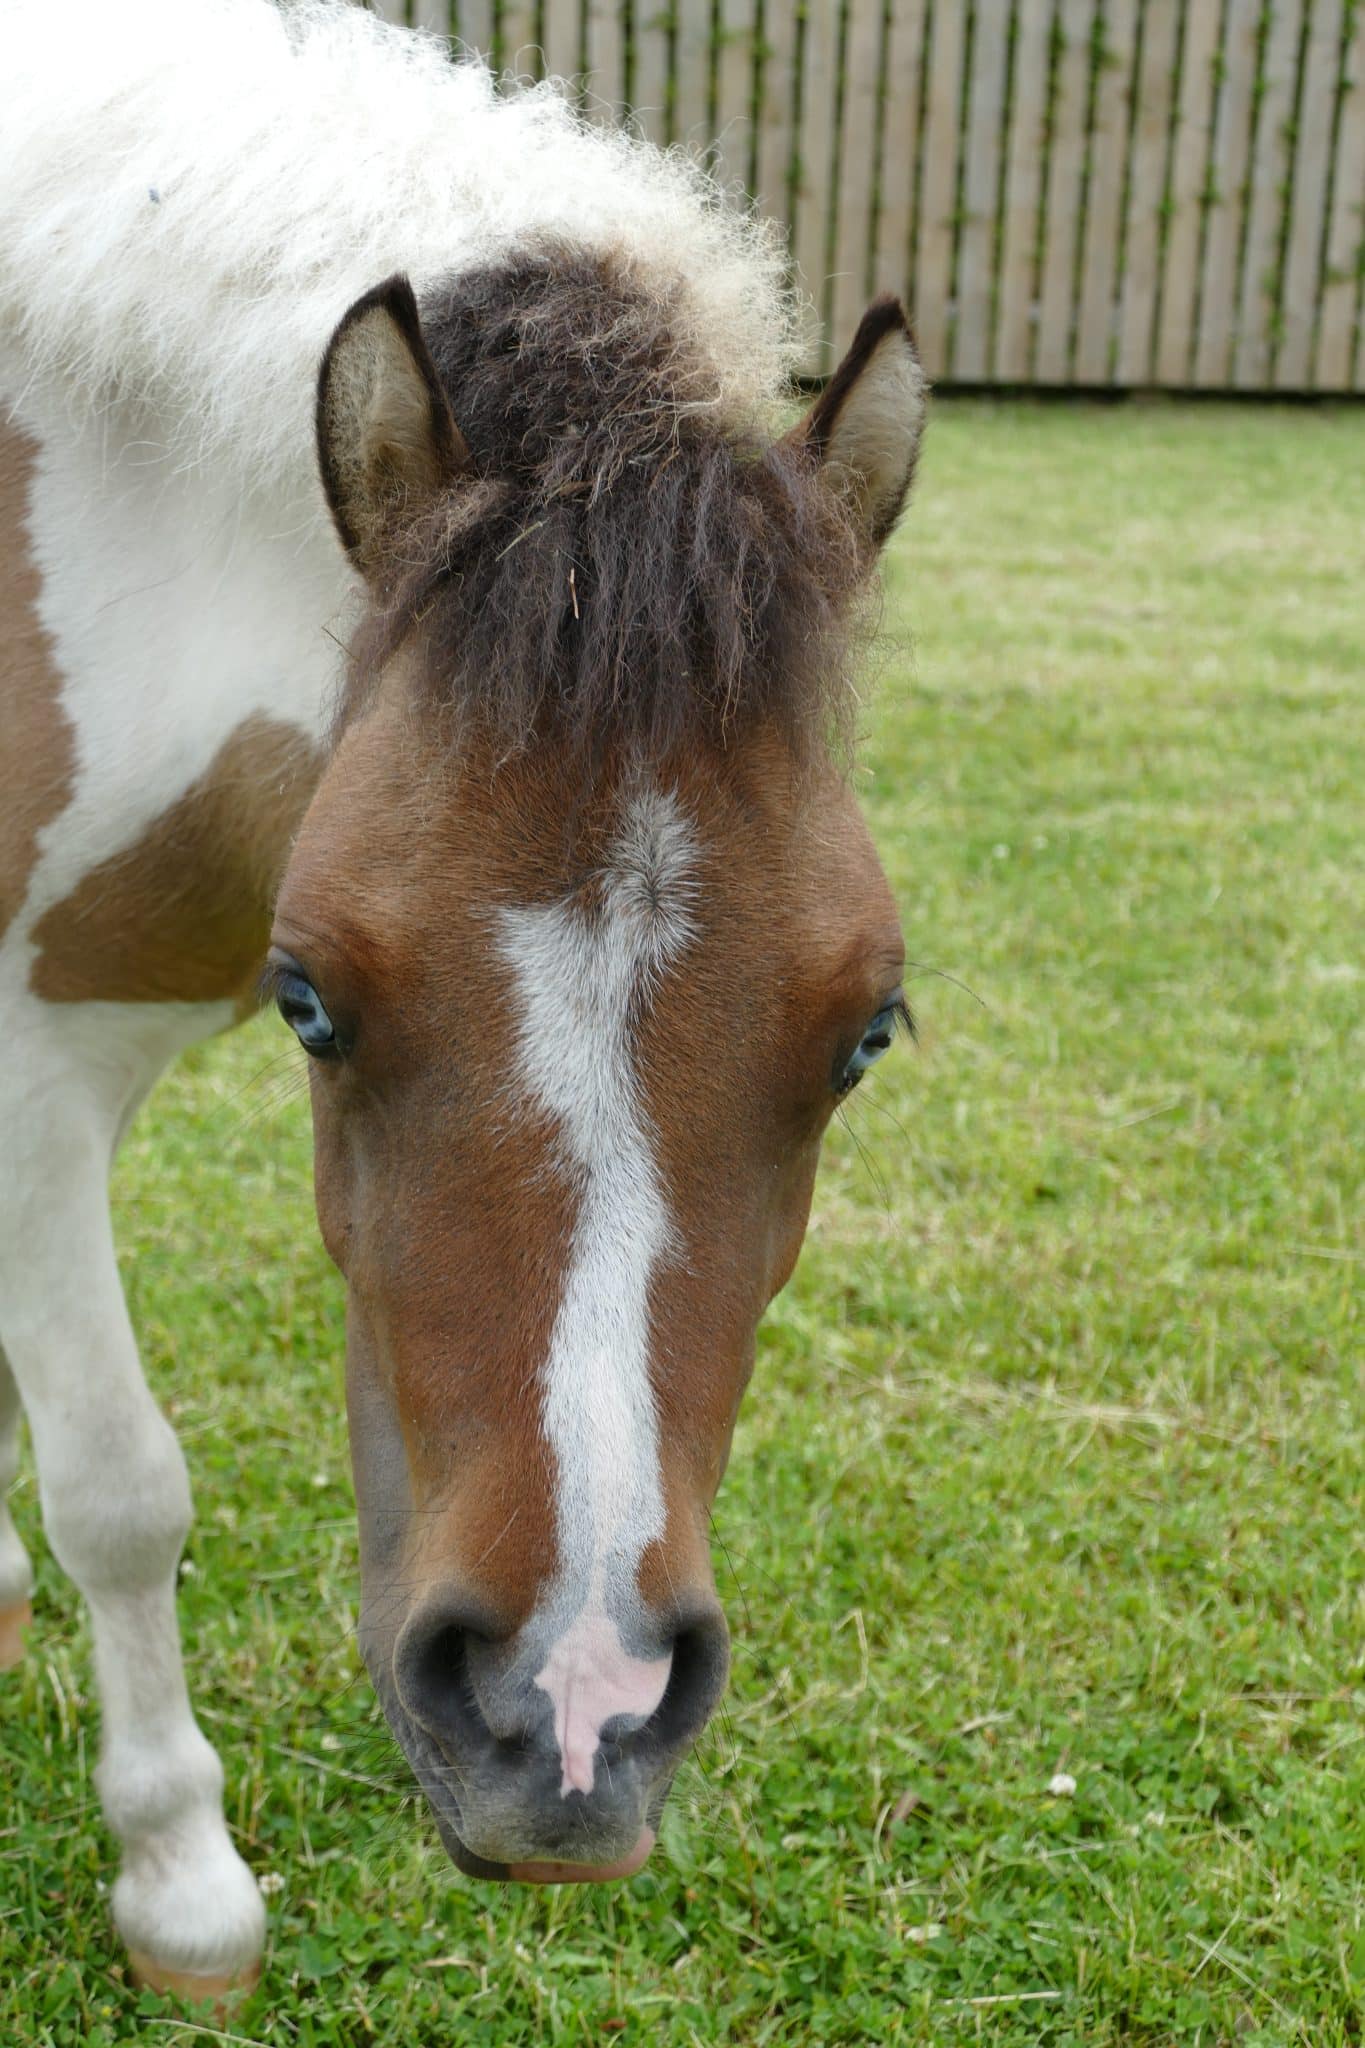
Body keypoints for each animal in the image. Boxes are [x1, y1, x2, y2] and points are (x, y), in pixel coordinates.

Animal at [0, 0, 925, 1998]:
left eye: (862, 1037)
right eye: (313, 1002)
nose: (569, 1717)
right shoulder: (23, 1080)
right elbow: (120, 1487)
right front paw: (181, 1876)